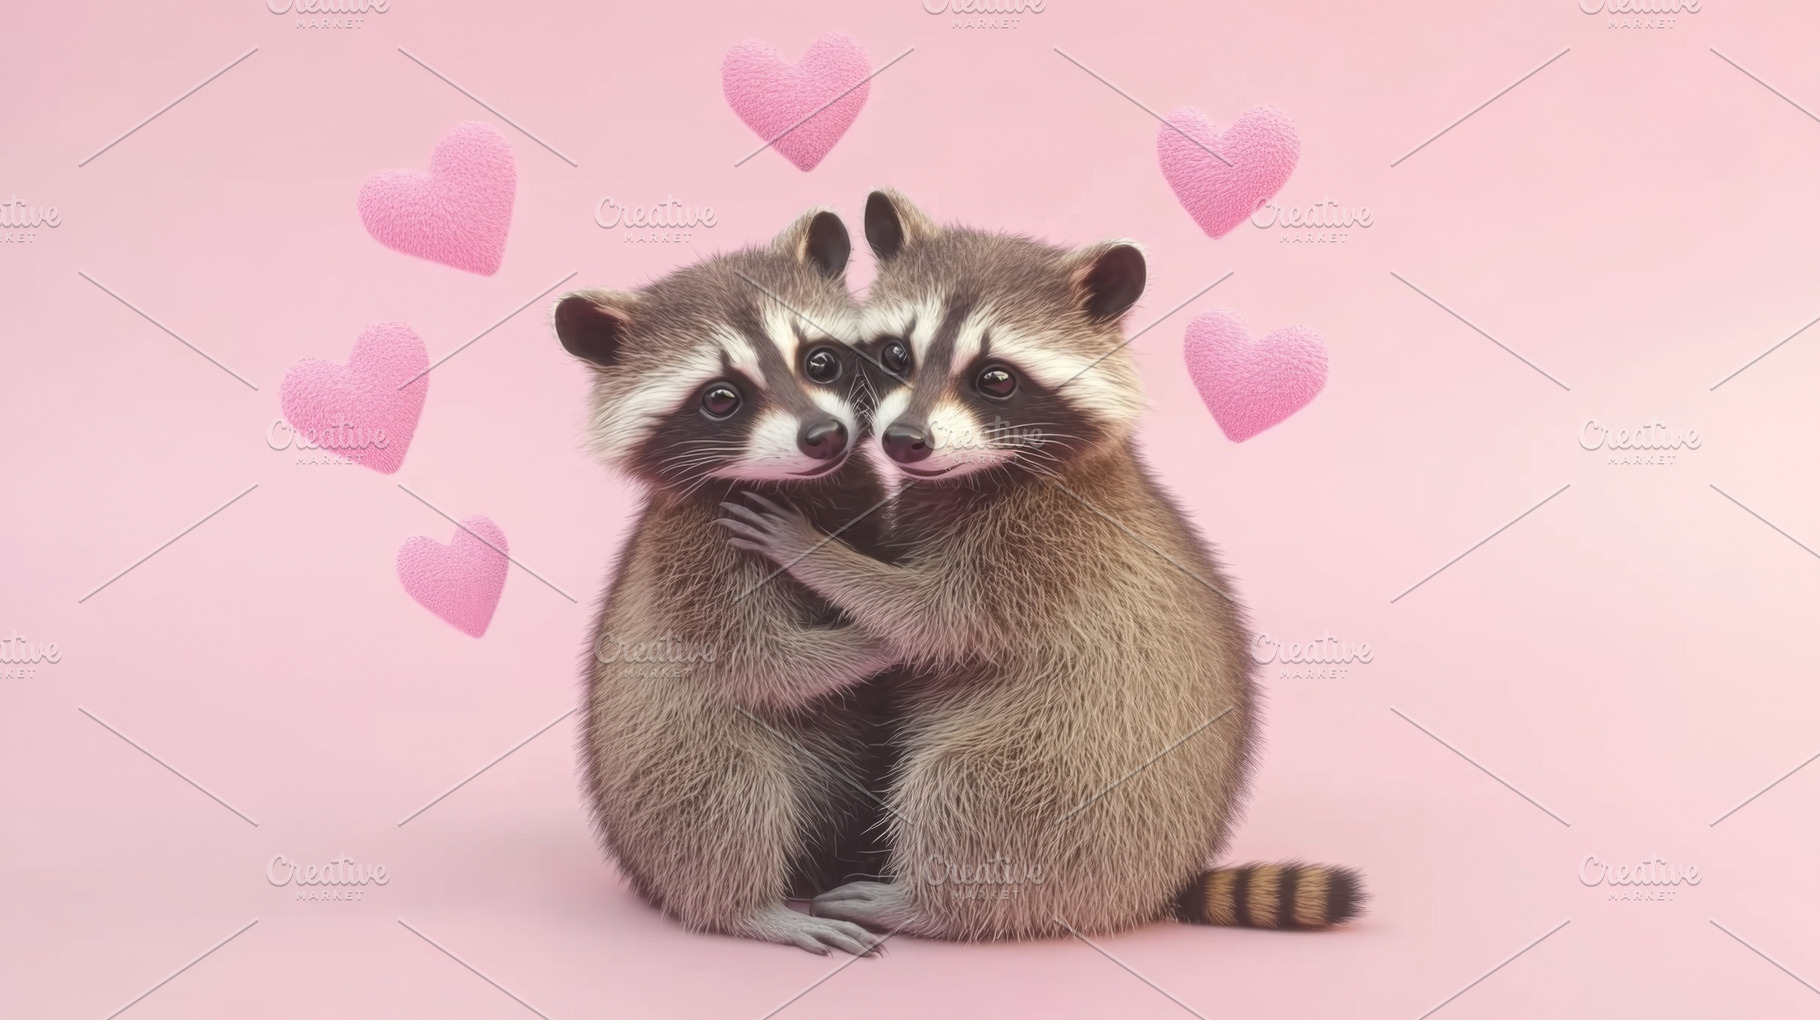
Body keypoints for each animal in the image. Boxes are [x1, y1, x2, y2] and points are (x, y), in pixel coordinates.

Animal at [556, 208, 901, 955]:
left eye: (820, 361)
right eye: (722, 398)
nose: (825, 435)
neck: (798, 486)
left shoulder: (862, 500)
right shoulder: (695, 552)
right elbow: (761, 662)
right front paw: (879, 642)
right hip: (665, 780)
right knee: (727, 791)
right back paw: (751, 908)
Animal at [718, 190, 1363, 940]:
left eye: (995, 379)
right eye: (895, 354)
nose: (903, 439)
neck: (988, 473)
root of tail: (1158, 882)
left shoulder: (1043, 549)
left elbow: (932, 620)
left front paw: (817, 552)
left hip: (1065, 779)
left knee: (965, 787)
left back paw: (928, 905)